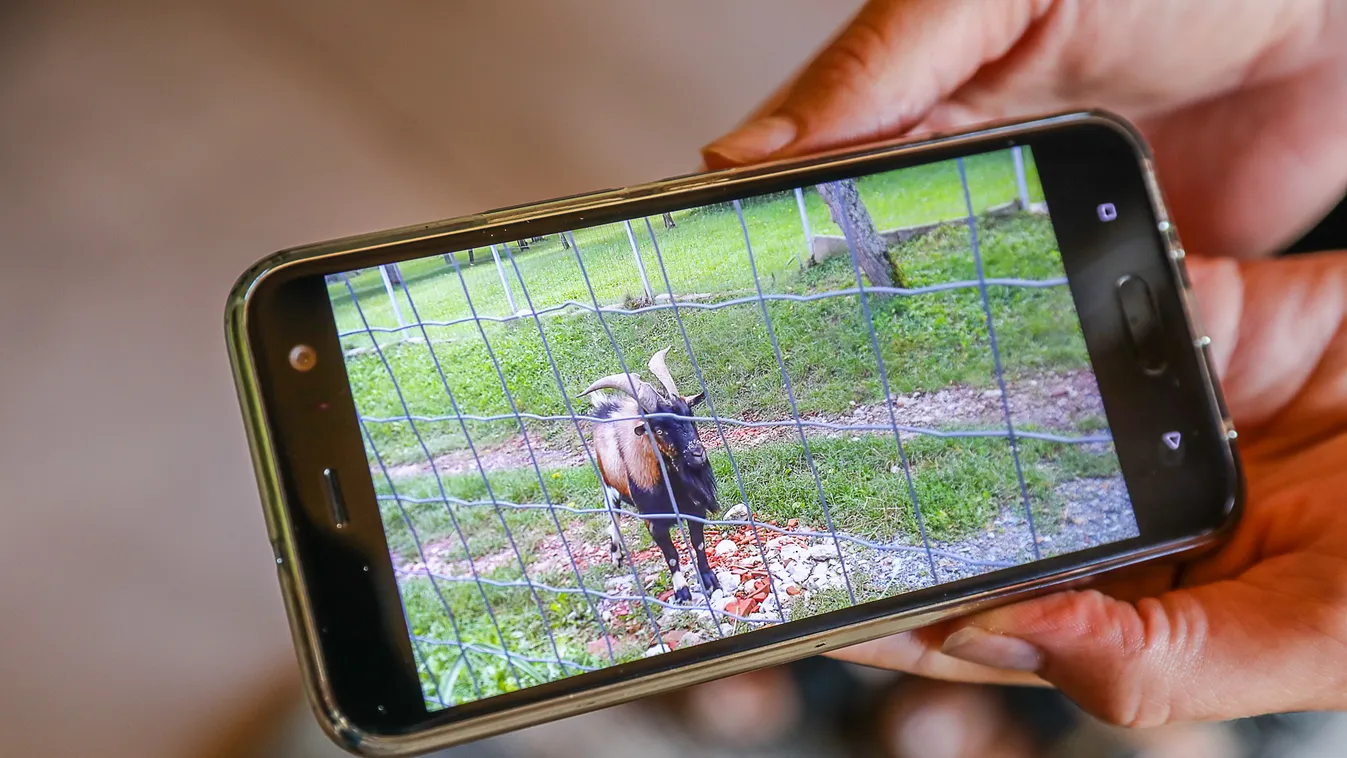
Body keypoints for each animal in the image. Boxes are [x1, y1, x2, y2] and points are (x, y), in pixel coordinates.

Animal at [584, 347, 721, 603]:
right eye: (658, 429)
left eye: (690, 415)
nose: (697, 454)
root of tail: (604, 409)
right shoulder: (654, 523)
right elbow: (672, 555)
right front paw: (682, 592)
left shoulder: (695, 511)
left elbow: (698, 544)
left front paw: (710, 581)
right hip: (608, 484)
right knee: (613, 514)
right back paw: (616, 555)